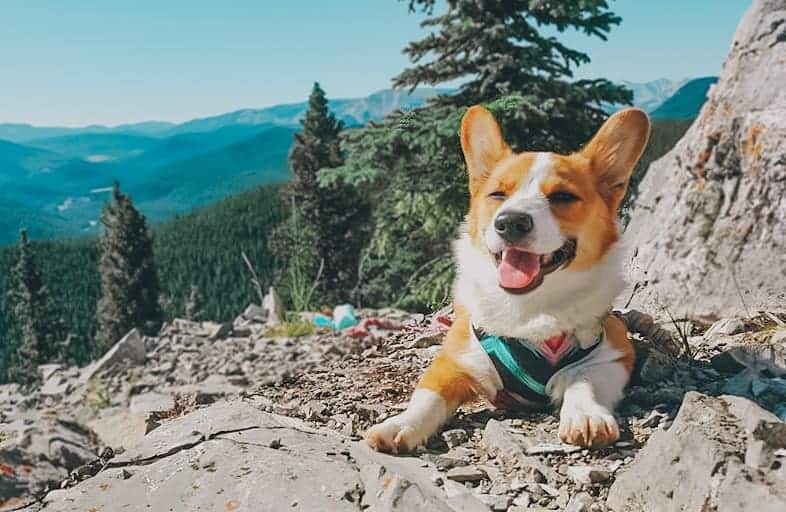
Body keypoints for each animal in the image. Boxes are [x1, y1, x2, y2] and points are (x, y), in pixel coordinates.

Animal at [368, 106, 648, 450]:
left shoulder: (613, 351)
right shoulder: (455, 359)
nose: (511, 222)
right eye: (498, 194)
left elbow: (584, 379)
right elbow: (427, 397)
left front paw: (586, 416)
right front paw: (401, 424)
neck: (530, 306)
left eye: (563, 197)